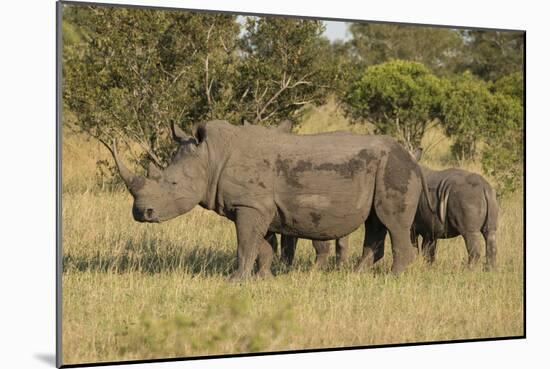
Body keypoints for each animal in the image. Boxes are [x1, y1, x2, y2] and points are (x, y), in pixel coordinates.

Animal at [108, 120, 434, 278]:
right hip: (384, 169)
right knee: (375, 222)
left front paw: (235, 280)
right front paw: (262, 278)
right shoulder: (258, 206)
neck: (211, 157)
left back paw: (392, 278)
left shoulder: (249, 205)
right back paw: (356, 275)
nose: (142, 213)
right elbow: (262, 246)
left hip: (395, 168)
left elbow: (244, 246)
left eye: (173, 183)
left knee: (393, 223)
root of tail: (412, 158)